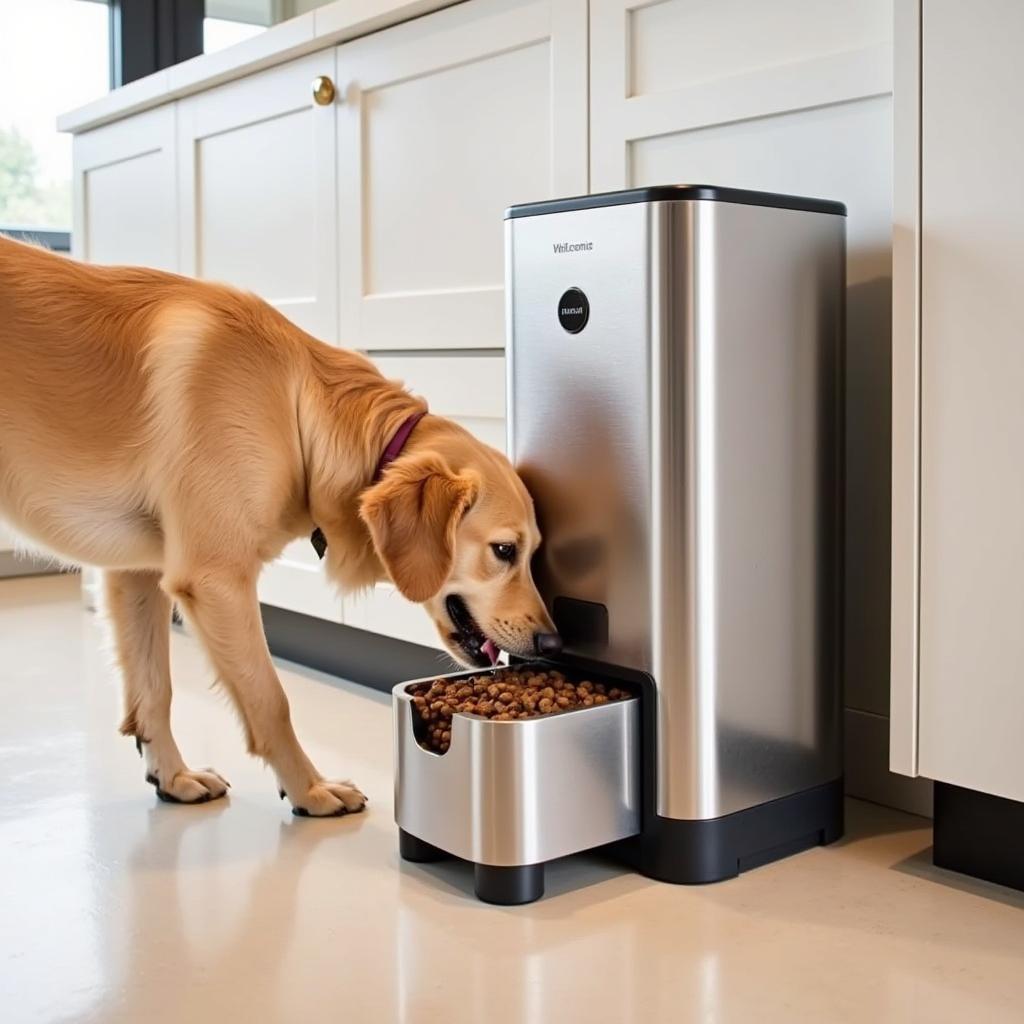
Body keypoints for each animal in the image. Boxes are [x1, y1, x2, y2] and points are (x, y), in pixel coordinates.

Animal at [0, 237, 561, 815]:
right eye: (504, 550)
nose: (553, 643)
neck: (291, 406)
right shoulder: (216, 580)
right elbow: (271, 700)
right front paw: (310, 790)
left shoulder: (136, 573)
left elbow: (155, 692)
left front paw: (172, 777)